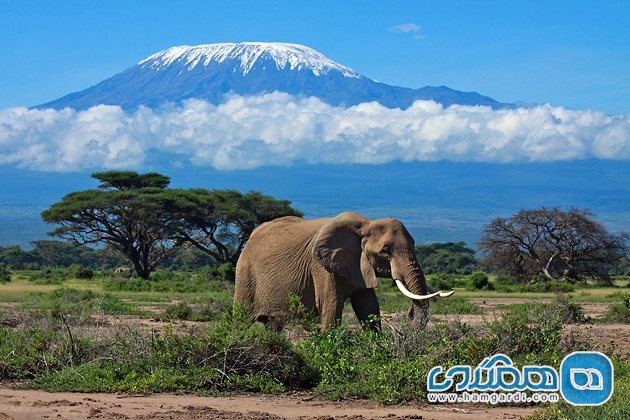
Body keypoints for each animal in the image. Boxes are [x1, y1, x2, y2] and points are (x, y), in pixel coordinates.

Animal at [235, 212, 456, 330]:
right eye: (385, 250)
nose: (409, 314)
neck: (365, 225)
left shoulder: (359, 265)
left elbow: (369, 307)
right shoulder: (321, 267)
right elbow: (331, 306)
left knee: (273, 325)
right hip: (245, 272)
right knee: (241, 318)